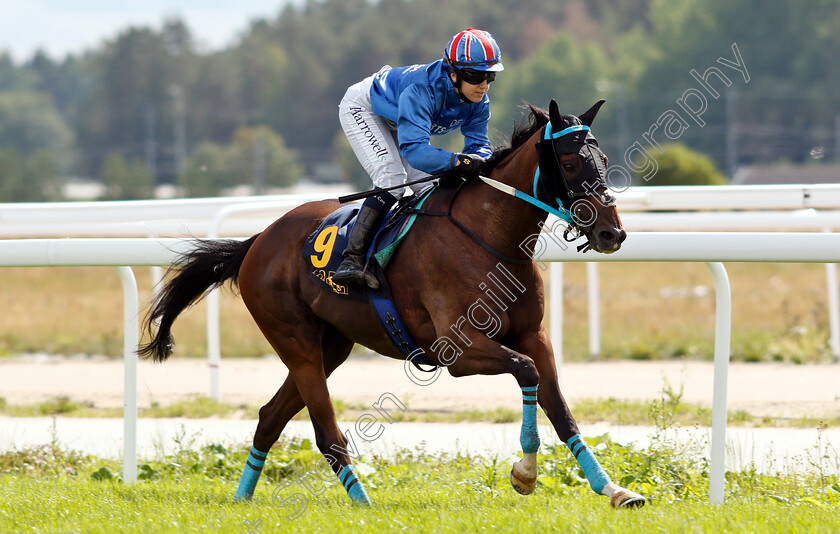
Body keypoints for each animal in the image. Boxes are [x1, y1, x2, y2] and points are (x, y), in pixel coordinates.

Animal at [141, 99, 648, 510]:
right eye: (569, 161)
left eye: (604, 158)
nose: (612, 232)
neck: (490, 236)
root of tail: (257, 241)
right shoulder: (459, 350)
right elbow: (526, 372)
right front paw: (524, 473)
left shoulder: (534, 335)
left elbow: (559, 408)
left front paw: (614, 489)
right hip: (296, 341)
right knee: (326, 433)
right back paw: (364, 502)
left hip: (330, 347)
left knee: (270, 418)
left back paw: (243, 497)